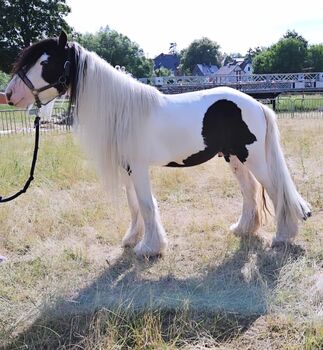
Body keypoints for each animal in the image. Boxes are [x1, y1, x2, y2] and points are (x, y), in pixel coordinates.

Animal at [4, 32, 312, 258]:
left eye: (44, 63)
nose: (9, 94)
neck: (123, 110)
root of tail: (257, 105)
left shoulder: (139, 168)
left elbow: (146, 204)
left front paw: (149, 248)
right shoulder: (128, 168)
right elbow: (134, 206)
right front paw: (132, 240)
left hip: (254, 158)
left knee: (276, 190)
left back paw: (282, 236)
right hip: (234, 157)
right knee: (249, 191)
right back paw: (242, 229)